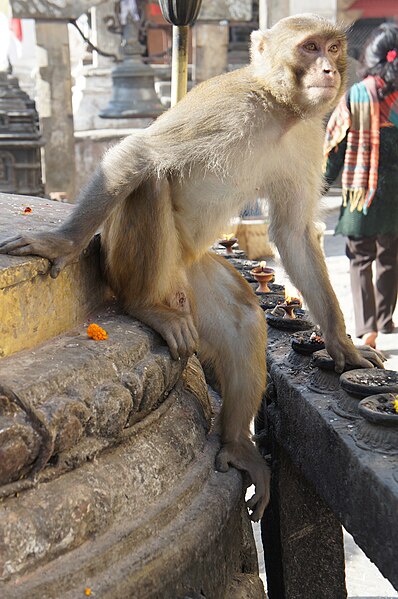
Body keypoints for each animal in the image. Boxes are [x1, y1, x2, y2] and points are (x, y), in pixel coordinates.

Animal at [0, 12, 382, 520]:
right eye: (309, 47)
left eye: (334, 48)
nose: (328, 70)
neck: (277, 110)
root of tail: (172, 283)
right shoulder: (231, 109)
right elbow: (139, 152)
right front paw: (58, 242)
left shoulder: (305, 136)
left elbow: (295, 233)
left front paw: (342, 344)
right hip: (128, 263)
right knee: (151, 178)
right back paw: (143, 305)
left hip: (189, 277)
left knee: (242, 319)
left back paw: (237, 443)